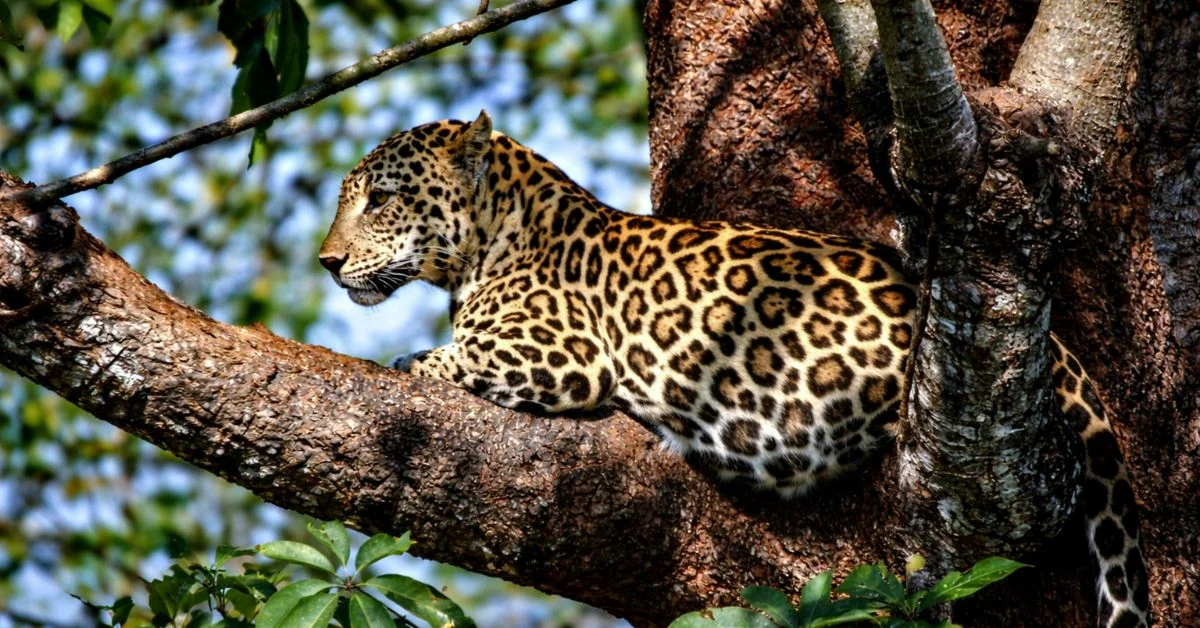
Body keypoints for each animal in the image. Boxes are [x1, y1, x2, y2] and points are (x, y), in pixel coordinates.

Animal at [318, 112, 1149, 627]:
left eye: (381, 199)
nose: (326, 263)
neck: (495, 237)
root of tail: (1060, 353)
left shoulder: (563, 353)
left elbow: (443, 356)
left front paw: (413, 357)